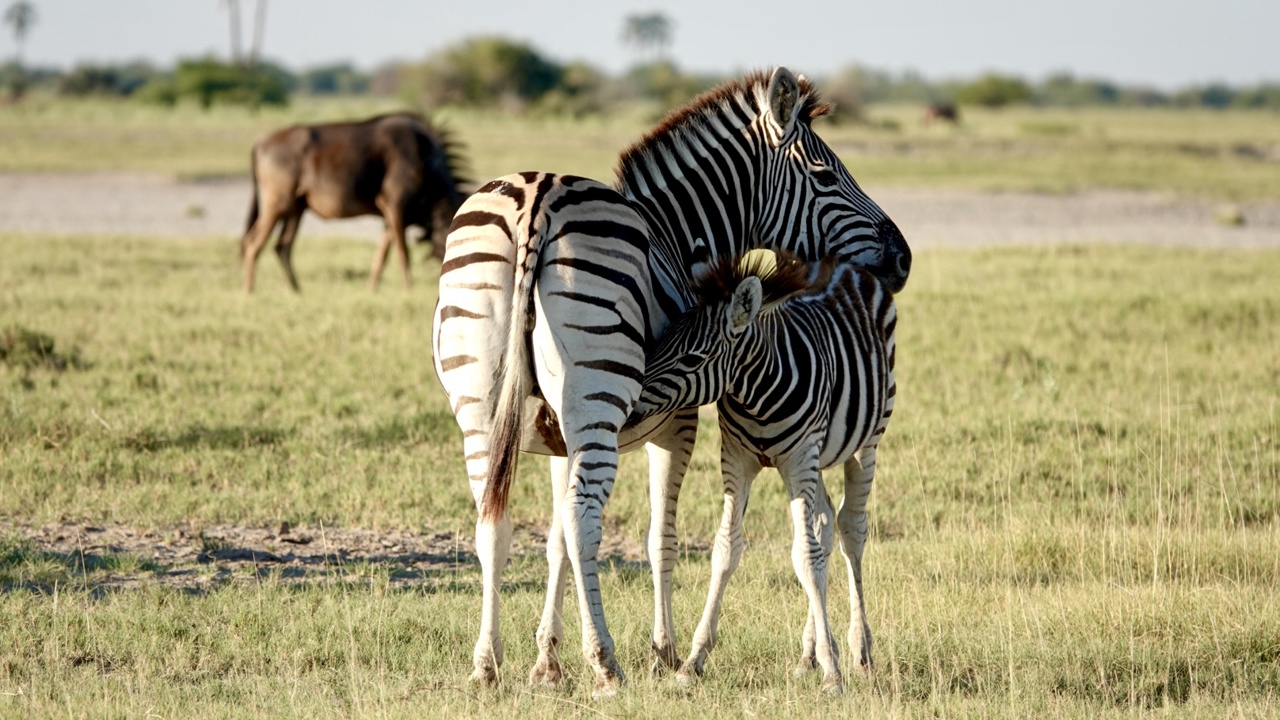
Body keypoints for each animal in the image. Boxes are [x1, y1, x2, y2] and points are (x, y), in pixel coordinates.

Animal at [630, 249, 898, 694]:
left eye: (692, 359)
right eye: (659, 341)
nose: (629, 408)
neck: (756, 396)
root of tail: (840, 261)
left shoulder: (799, 457)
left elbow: (806, 557)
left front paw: (833, 672)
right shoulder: (738, 459)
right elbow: (727, 549)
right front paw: (693, 660)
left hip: (865, 443)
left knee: (851, 530)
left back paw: (859, 652)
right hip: (813, 463)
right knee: (824, 523)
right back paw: (810, 653)